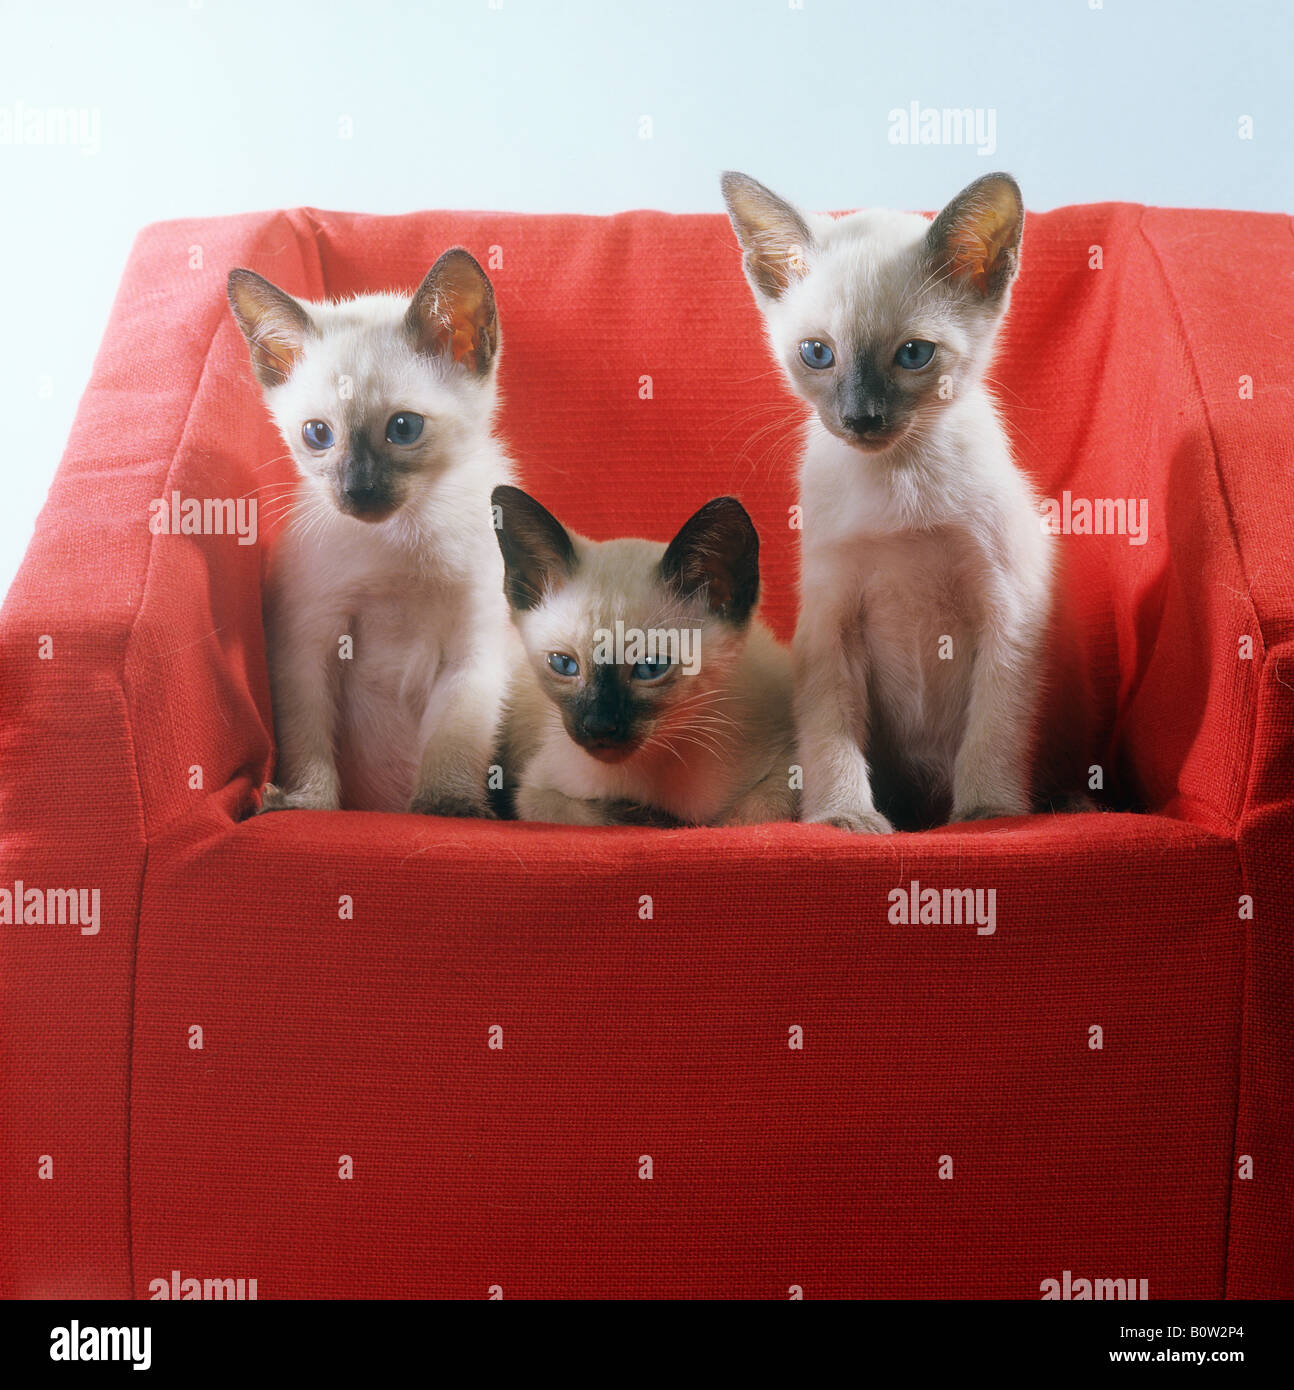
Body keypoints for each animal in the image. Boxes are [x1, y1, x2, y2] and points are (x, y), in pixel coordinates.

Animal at [227, 247, 517, 811]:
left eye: (403, 428)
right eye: (318, 435)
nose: (357, 491)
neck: (401, 539)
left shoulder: (475, 650)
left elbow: (453, 741)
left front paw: (446, 809)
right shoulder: (306, 644)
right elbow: (309, 743)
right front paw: (309, 804)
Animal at [492, 486, 800, 822]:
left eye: (651, 668)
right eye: (563, 664)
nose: (598, 726)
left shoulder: (788, 765)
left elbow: (752, 813)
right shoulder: (537, 791)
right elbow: (601, 815)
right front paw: (649, 815)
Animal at [722, 168, 1056, 828]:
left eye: (913, 354)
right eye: (817, 353)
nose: (862, 419)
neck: (898, 481)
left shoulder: (1008, 608)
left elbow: (994, 728)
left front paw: (989, 814)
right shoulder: (830, 617)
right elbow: (831, 733)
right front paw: (843, 818)